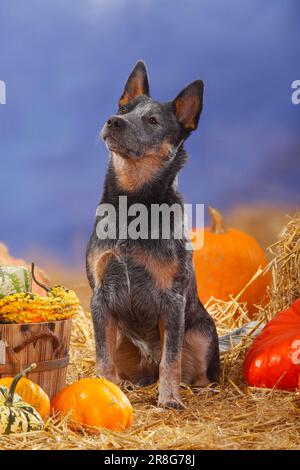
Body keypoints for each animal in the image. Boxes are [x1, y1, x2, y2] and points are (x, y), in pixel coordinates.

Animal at [85, 61, 219, 408]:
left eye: (153, 120)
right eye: (123, 108)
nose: (113, 120)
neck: (133, 205)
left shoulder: (172, 300)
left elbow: (170, 360)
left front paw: (169, 400)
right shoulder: (100, 296)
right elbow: (103, 358)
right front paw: (107, 391)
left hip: (202, 333)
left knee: (194, 371)